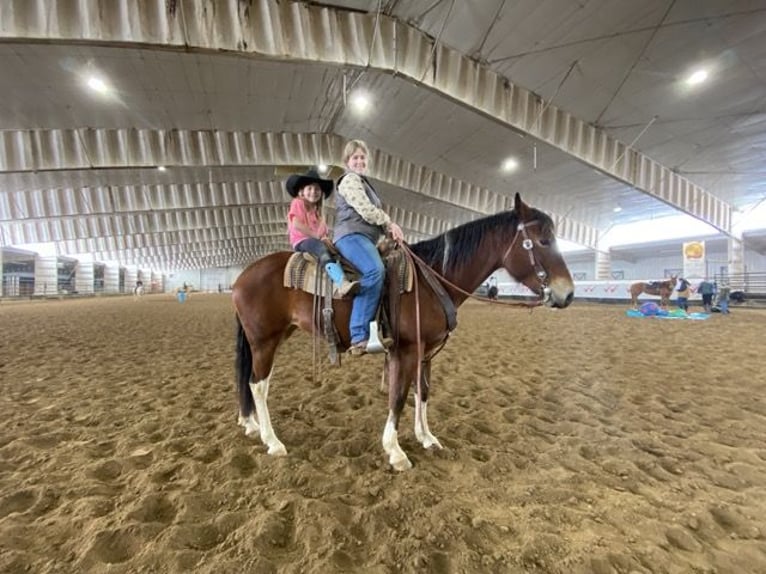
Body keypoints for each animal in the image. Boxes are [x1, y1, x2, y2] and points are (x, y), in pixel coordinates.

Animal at [234, 194, 576, 472]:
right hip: (264, 341)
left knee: (254, 382)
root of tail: (243, 276)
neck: (431, 278)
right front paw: (395, 452)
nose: (568, 294)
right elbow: (398, 397)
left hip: (275, 338)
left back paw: (252, 425)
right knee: (257, 385)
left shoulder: (426, 352)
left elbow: (422, 391)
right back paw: (273, 441)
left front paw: (426, 437)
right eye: (543, 241)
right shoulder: (406, 351)